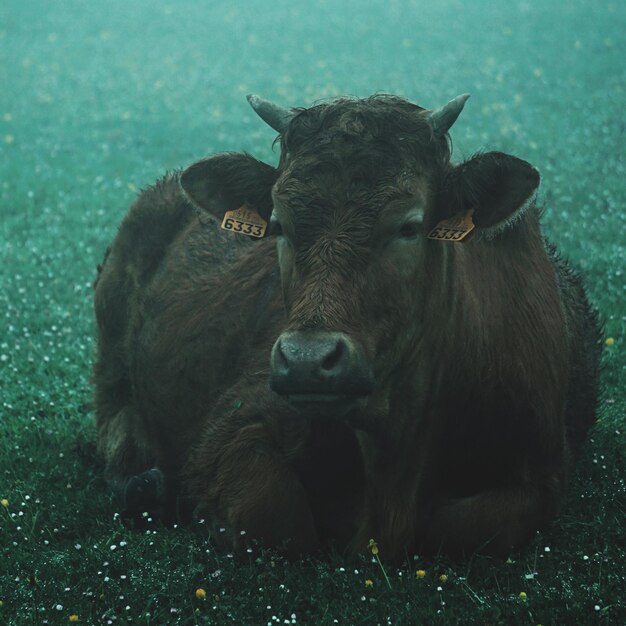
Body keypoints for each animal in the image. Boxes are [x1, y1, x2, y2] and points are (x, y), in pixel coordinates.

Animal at [94, 90, 600, 560]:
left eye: (409, 227)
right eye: (279, 224)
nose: (307, 361)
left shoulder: (540, 472)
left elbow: (462, 528)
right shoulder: (235, 424)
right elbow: (277, 518)